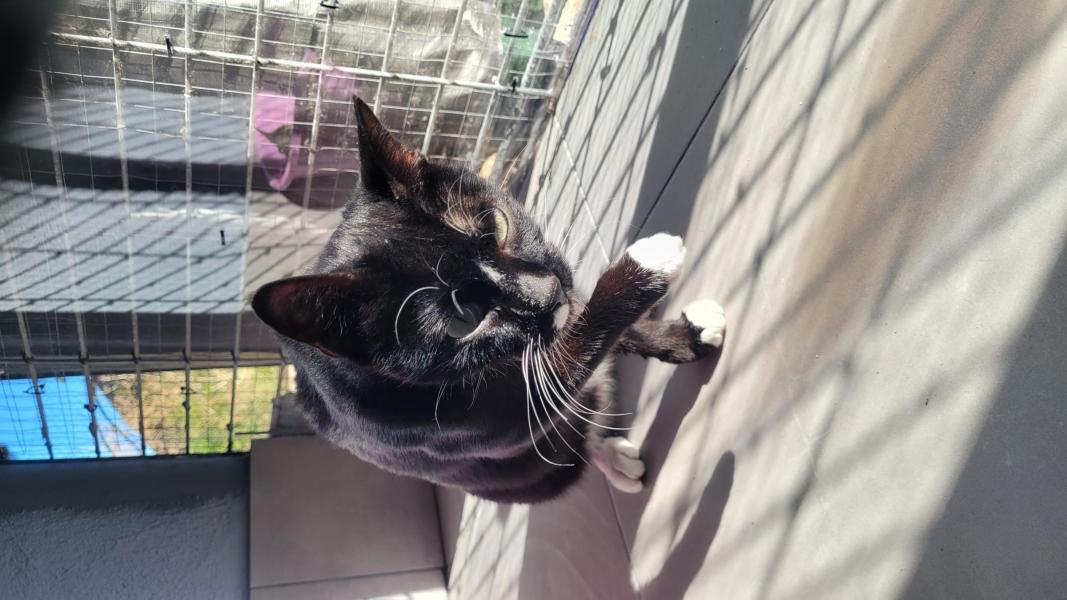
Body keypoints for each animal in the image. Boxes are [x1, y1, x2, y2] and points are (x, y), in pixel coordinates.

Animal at [252, 97, 726, 503]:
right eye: (464, 319)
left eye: (496, 226)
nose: (547, 292)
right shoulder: (496, 424)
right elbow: (576, 349)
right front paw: (644, 269)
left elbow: (582, 318)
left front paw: (686, 334)